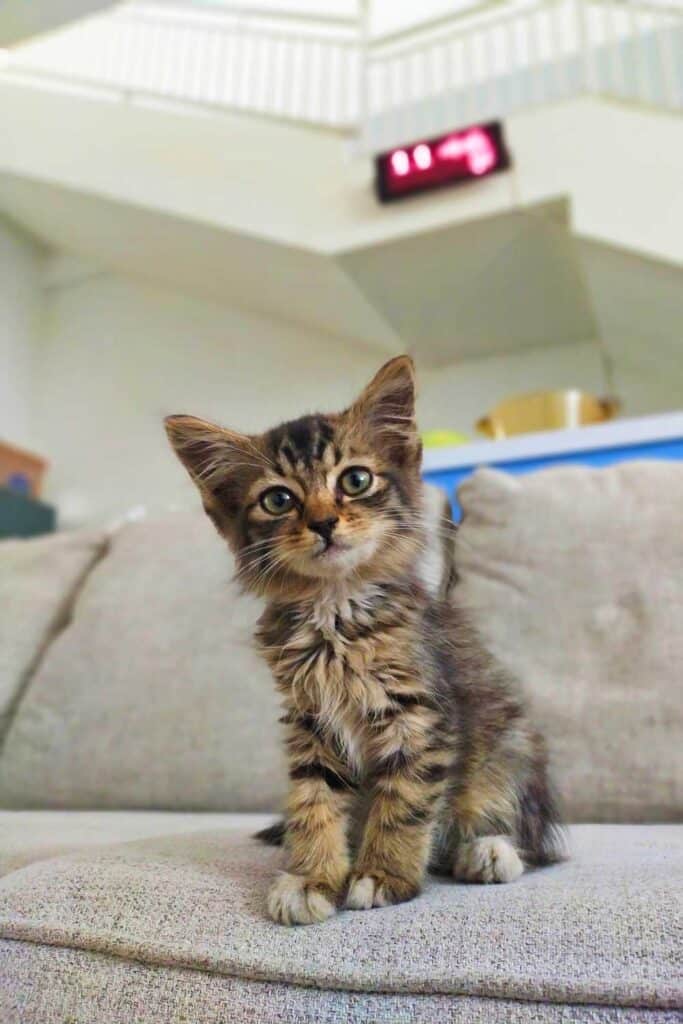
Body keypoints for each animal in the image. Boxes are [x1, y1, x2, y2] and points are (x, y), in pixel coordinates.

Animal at [166, 356, 565, 925]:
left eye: (355, 480)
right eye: (277, 499)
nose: (323, 522)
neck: (336, 614)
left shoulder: (419, 715)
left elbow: (404, 804)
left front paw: (384, 874)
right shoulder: (311, 724)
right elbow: (313, 803)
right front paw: (311, 877)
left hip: (509, 746)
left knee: (517, 829)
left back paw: (488, 850)